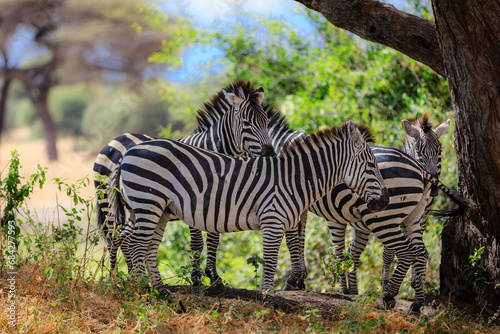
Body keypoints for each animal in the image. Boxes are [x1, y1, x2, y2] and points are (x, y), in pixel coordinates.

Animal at [92, 80, 276, 274]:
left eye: (266, 121)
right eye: (246, 123)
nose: (270, 155)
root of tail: (114, 140)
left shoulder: (218, 203)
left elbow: (214, 239)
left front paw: (213, 276)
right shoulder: (194, 201)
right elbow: (197, 243)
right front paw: (197, 277)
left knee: (125, 238)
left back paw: (131, 274)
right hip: (109, 205)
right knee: (114, 240)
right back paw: (114, 276)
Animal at [112, 121, 390, 294]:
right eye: (370, 165)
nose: (385, 202)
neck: (294, 179)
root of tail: (129, 151)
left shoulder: (285, 221)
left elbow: (284, 253)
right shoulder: (273, 220)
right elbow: (271, 260)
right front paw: (268, 298)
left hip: (155, 208)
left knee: (145, 247)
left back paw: (160, 291)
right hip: (148, 203)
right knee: (137, 245)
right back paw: (142, 291)